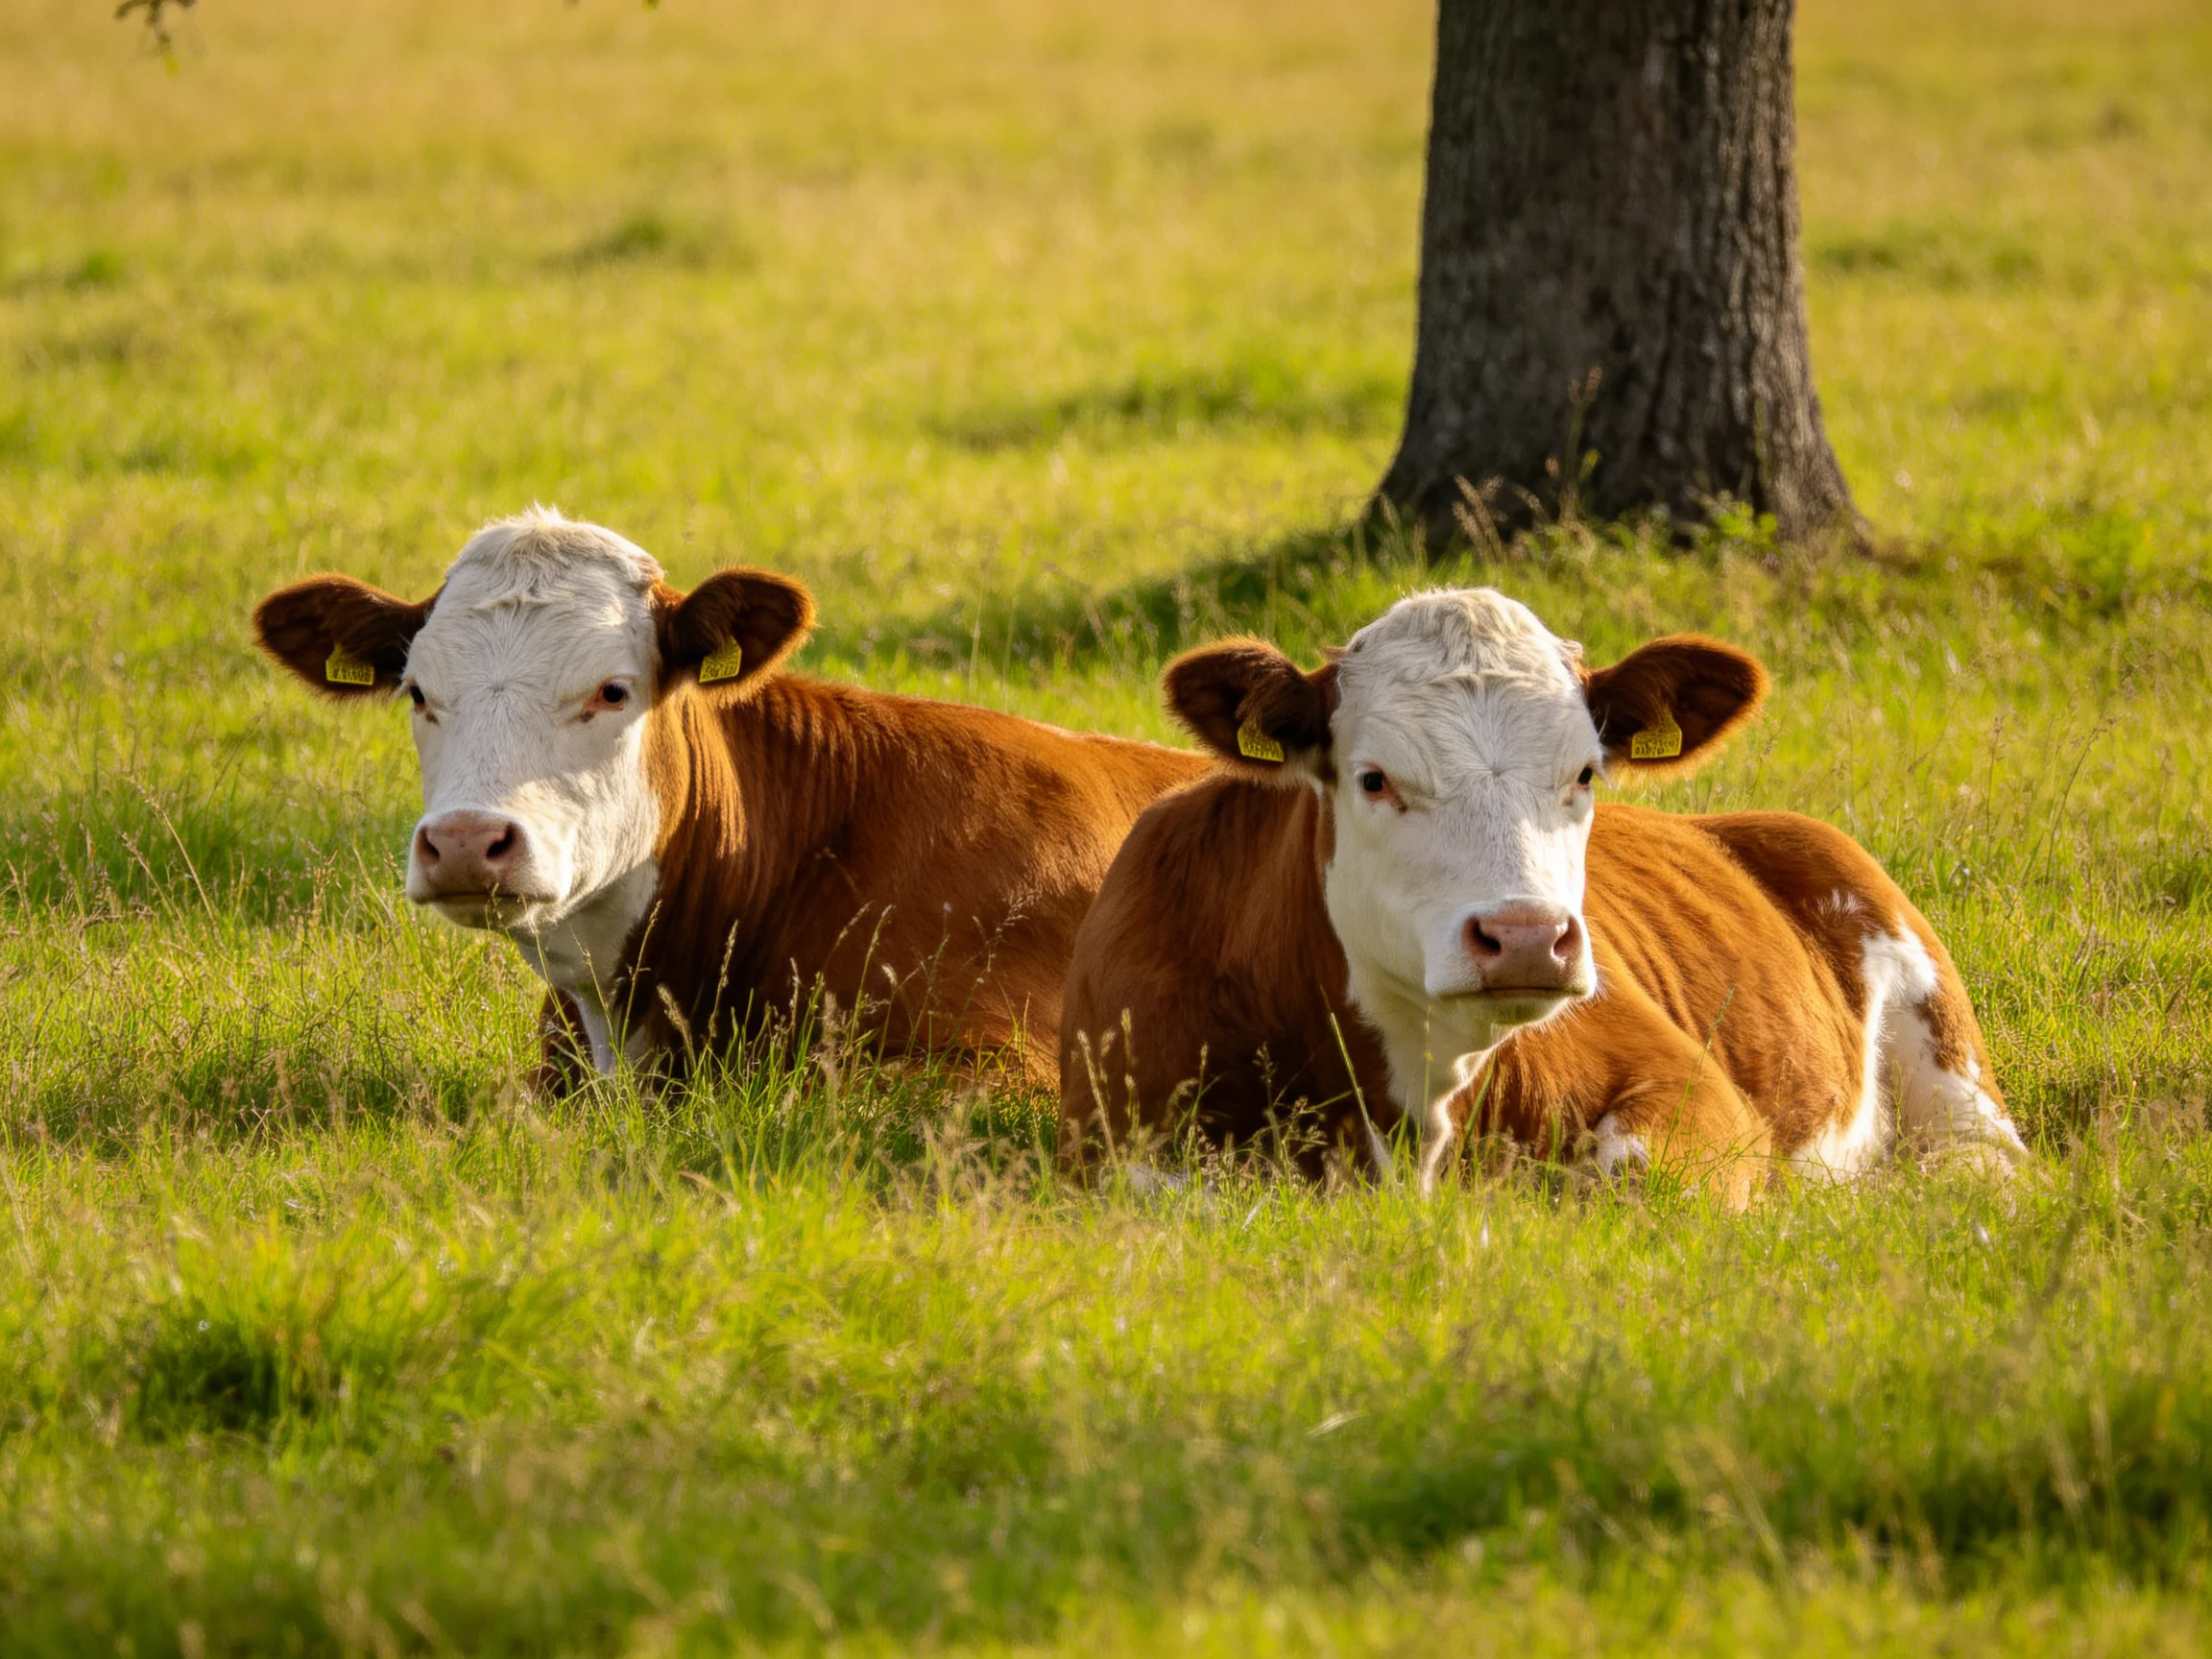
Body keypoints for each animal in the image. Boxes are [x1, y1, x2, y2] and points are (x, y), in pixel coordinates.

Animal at [1059, 587, 2028, 1202]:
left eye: (1585, 772)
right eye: (1374, 779)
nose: (1526, 936)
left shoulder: (1697, 1094)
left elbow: (1631, 1177)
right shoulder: (1115, 1129)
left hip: (1946, 1053)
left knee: (1981, 1163)